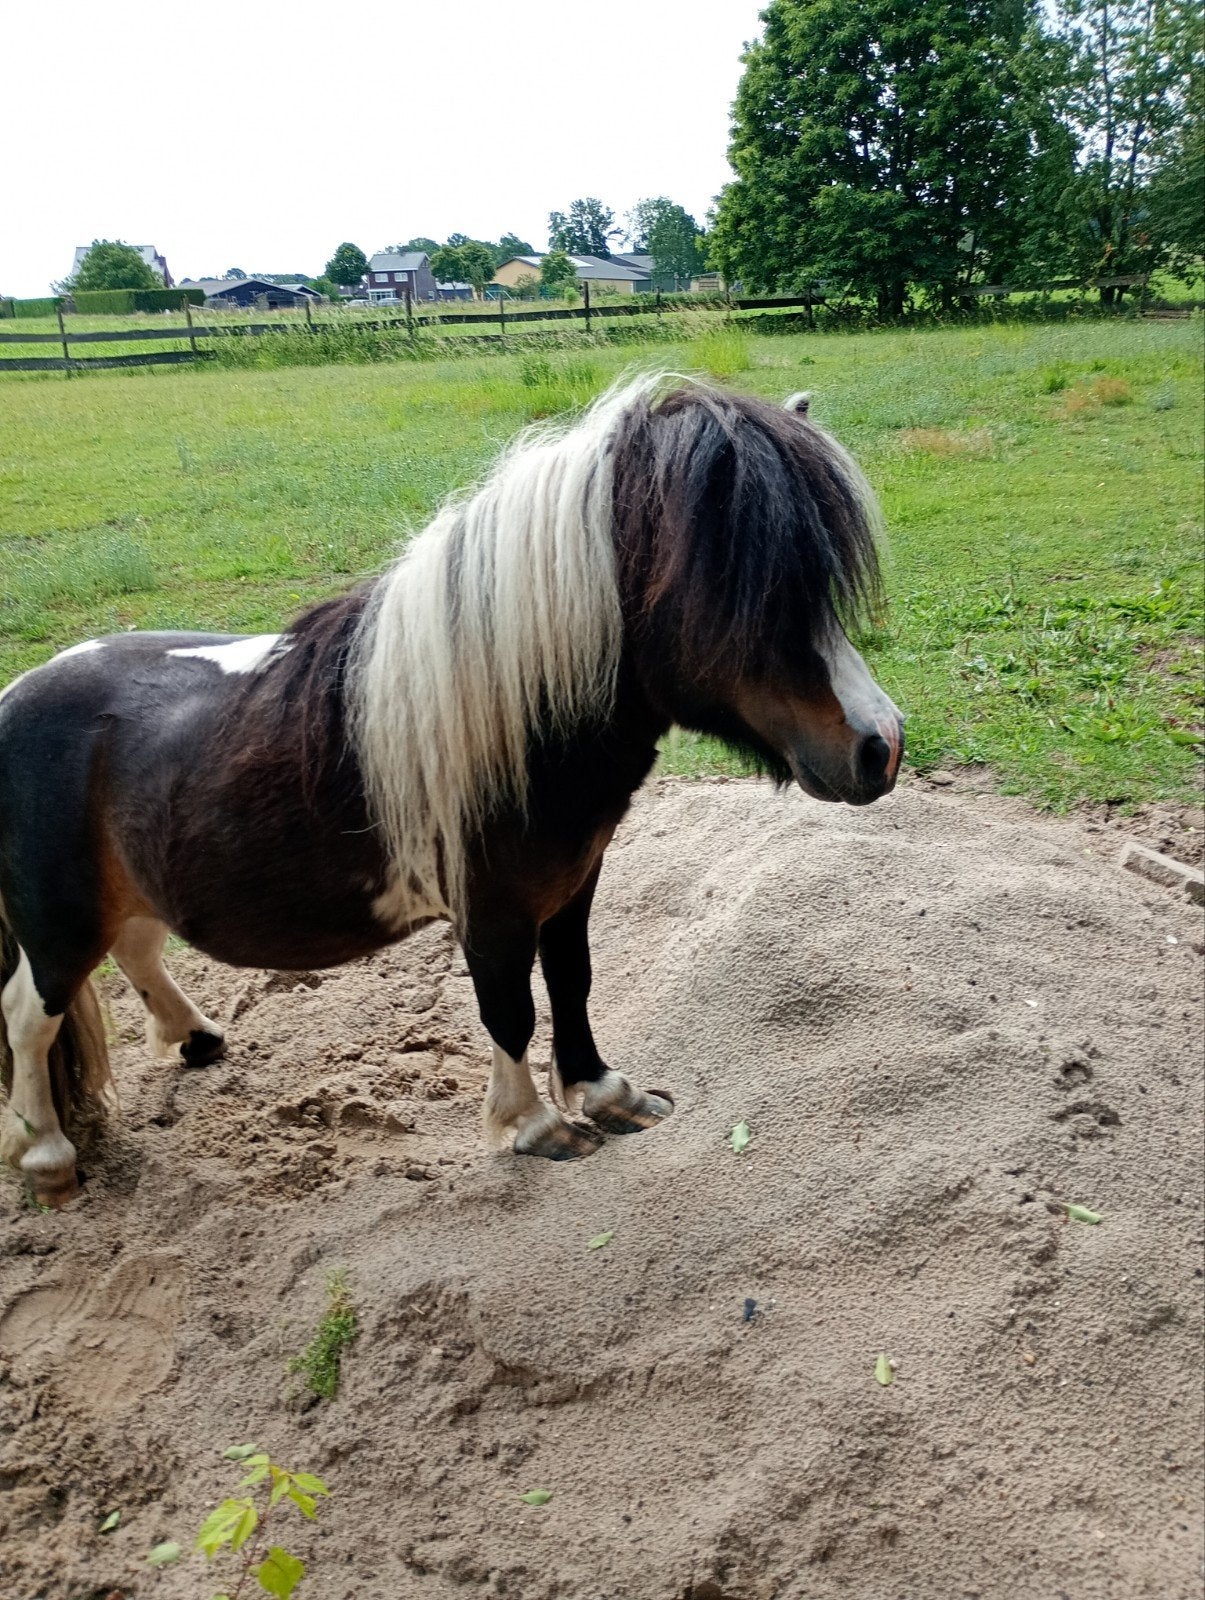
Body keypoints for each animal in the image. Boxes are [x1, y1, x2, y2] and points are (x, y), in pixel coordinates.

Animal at [0, 375, 903, 1207]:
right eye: (739, 590)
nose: (879, 746)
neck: (518, 713)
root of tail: (15, 697)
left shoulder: (572, 881)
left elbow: (570, 979)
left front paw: (603, 1092)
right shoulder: (491, 905)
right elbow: (508, 1006)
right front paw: (536, 1125)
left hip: (127, 895)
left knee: (136, 950)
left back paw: (196, 1038)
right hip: (57, 921)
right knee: (31, 1013)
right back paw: (46, 1154)